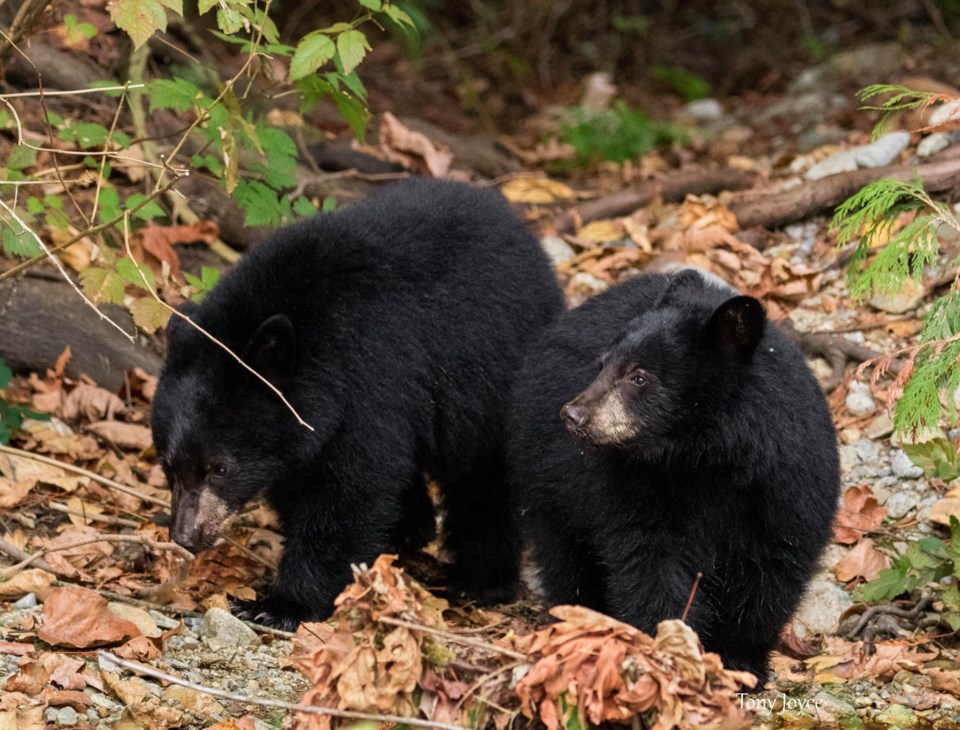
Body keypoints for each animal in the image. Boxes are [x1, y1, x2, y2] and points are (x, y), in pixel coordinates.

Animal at [152, 179, 564, 628]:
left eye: (221, 468)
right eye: (169, 465)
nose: (186, 536)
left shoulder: (368, 379)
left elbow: (349, 492)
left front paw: (280, 605)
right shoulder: (302, 433)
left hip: (493, 377)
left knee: (483, 480)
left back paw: (480, 580)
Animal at [510, 268, 840, 684]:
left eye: (639, 377)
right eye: (602, 364)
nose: (573, 415)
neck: (708, 457)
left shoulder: (786, 482)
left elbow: (772, 569)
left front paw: (740, 661)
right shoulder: (637, 485)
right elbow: (653, 563)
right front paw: (673, 650)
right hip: (550, 479)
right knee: (565, 554)